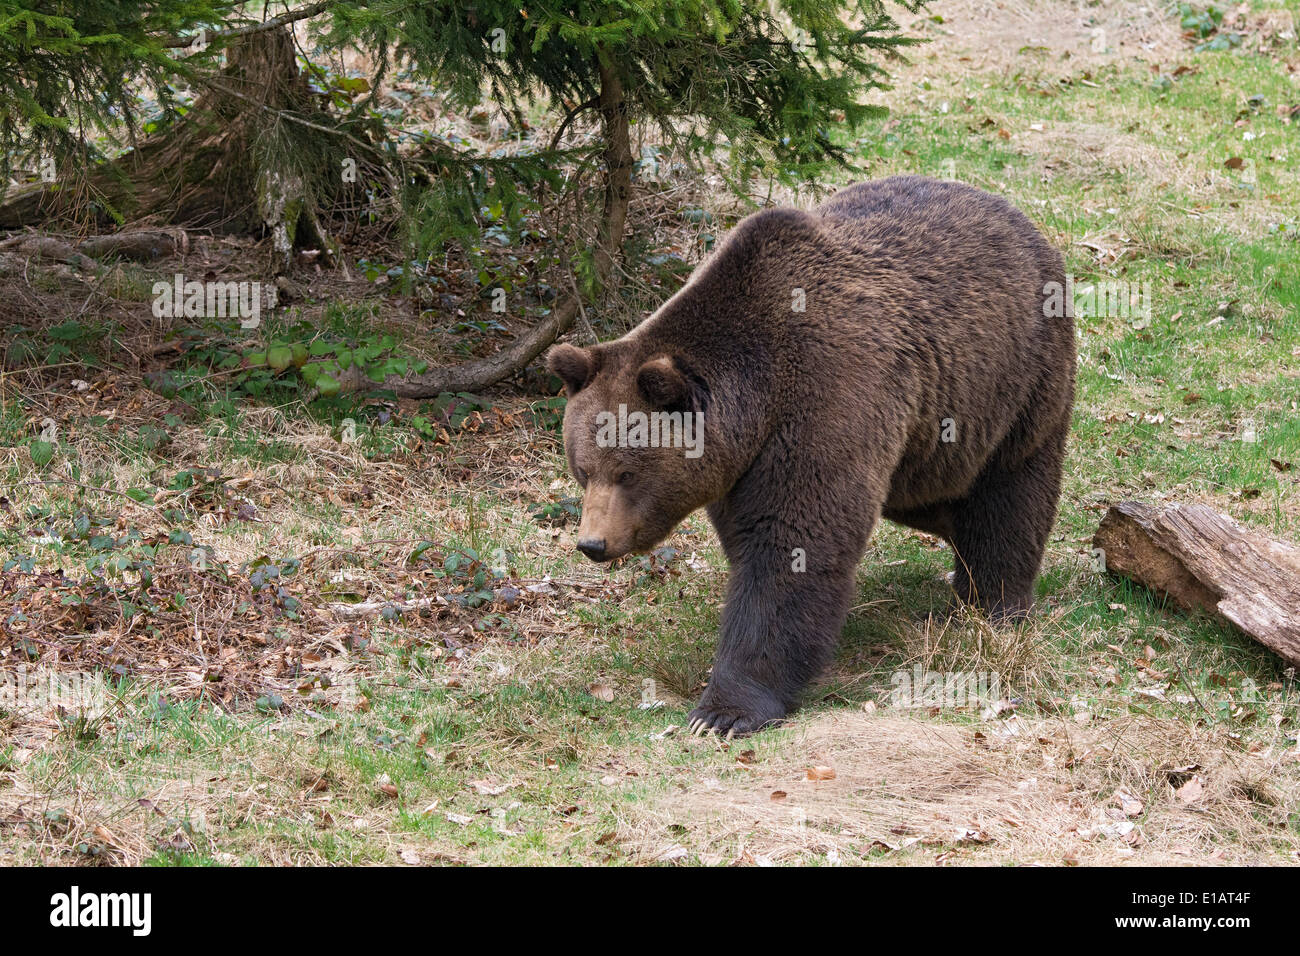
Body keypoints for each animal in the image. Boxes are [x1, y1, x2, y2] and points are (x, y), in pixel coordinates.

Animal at [548, 174, 1076, 738]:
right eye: (582, 470)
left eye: (627, 472)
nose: (593, 543)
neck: (757, 399)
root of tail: (1016, 214)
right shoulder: (742, 464)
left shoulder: (826, 396)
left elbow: (793, 547)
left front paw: (722, 711)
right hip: (938, 430)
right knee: (934, 493)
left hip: (1016, 380)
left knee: (1009, 493)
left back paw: (993, 605)